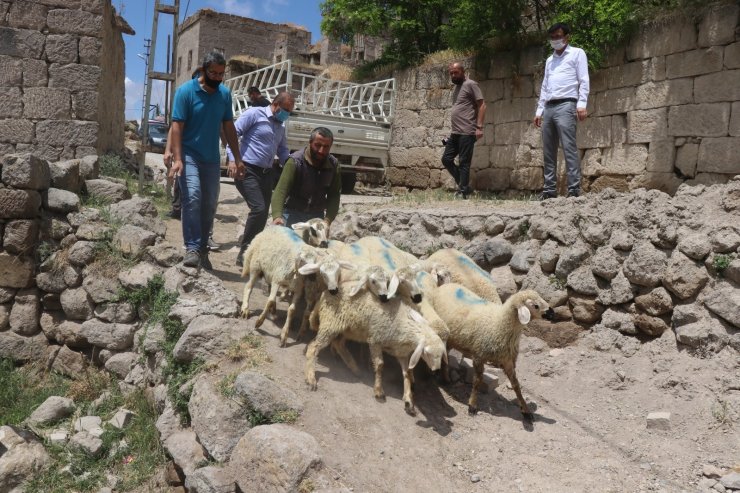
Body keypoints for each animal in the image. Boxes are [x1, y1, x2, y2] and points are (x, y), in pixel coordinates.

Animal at [304, 288, 446, 416]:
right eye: (427, 352)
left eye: (441, 354)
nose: (436, 371)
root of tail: (324, 294)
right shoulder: (375, 340)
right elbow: (380, 365)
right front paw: (378, 391)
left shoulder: (401, 353)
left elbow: (407, 374)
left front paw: (409, 401)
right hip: (331, 323)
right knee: (313, 347)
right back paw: (311, 378)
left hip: (348, 328)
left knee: (339, 344)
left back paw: (355, 369)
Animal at [428, 284, 556, 418]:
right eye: (535, 305)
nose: (553, 313)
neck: (499, 324)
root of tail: (446, 285)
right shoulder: (479, 356)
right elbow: (477, 381)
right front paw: (472, 405)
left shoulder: (507, 360)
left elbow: (516, 385)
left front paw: (526, 410)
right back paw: (443, 378)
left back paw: (446, 378)